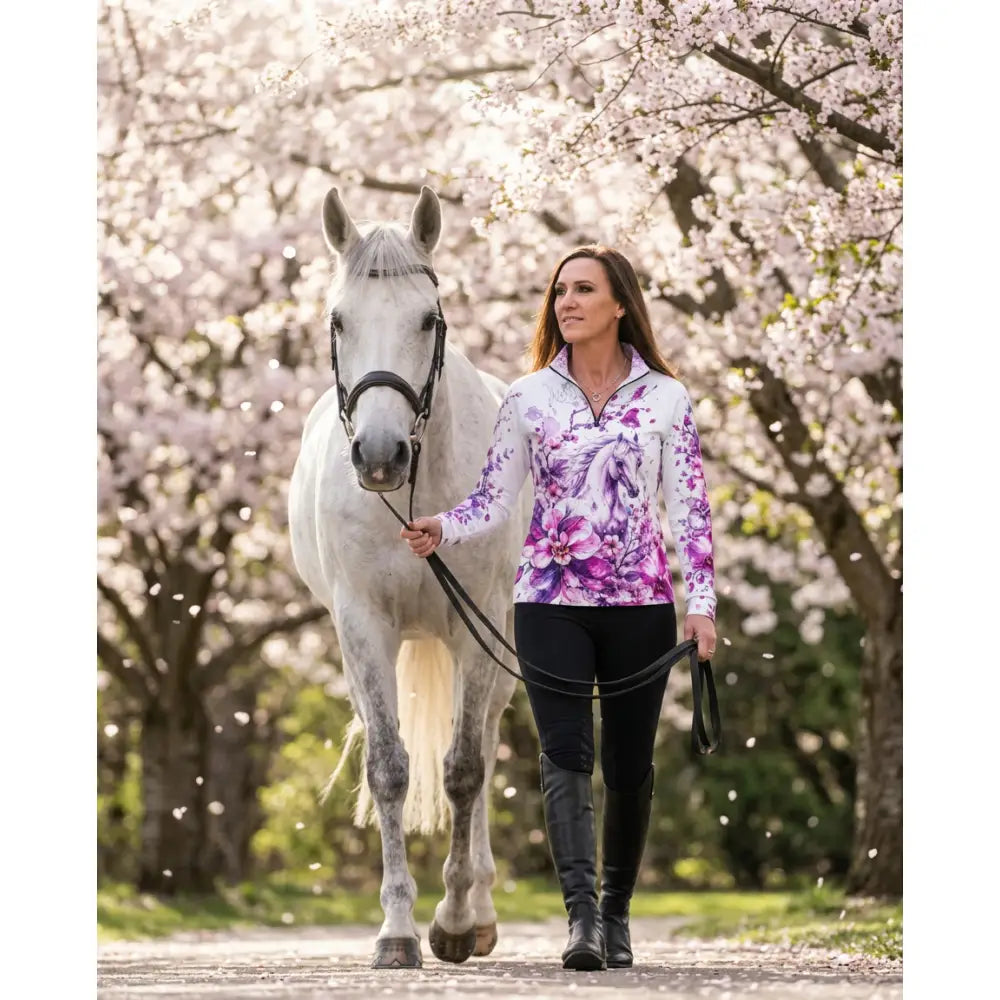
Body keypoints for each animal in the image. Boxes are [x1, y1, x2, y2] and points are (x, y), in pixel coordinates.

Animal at [288, 186, 525, 969]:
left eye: (428, 319)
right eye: (339, 320)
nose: (380, 454)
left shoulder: (475, 626)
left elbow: (464, 769)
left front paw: (451, 921)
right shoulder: (362, 626)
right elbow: (390, 769)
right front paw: (396, 930)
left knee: (484, 741)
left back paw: (479, 909)